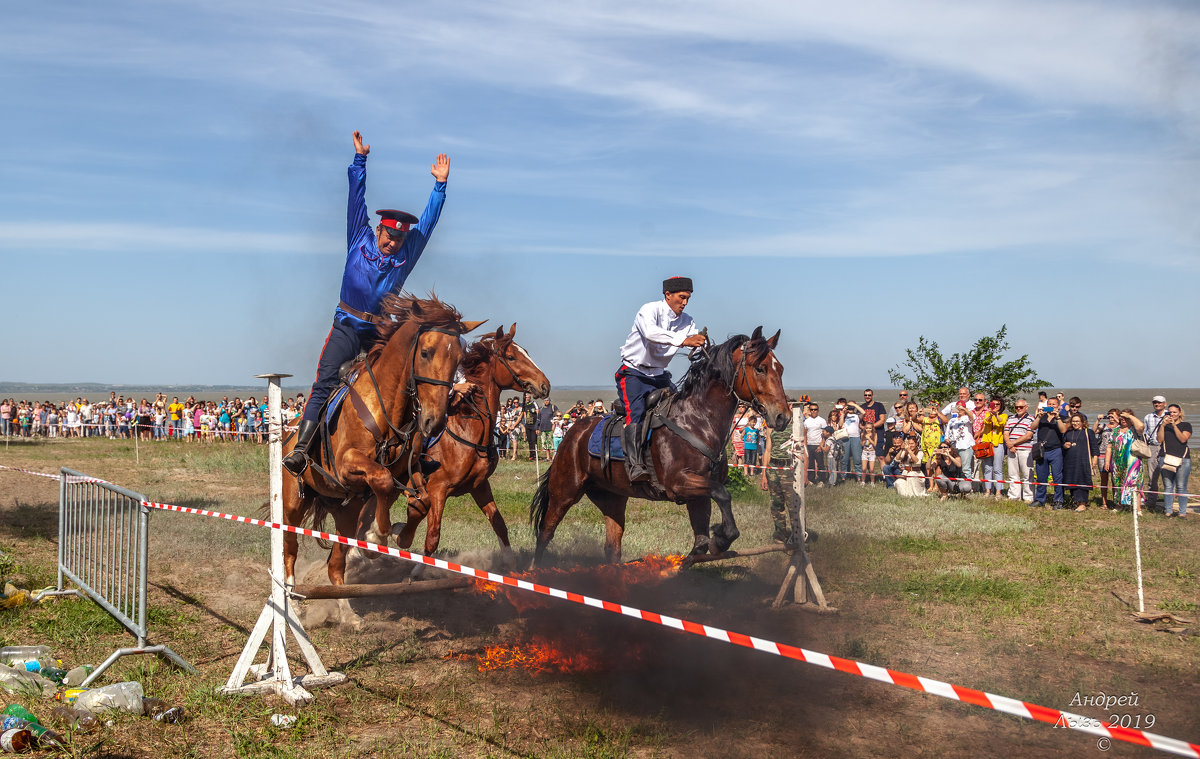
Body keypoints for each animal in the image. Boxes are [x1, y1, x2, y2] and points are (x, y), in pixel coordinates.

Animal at [280, 291, 482, 586]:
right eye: (425, 353)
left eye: (458, 359)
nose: (434, 423)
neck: (387, 408)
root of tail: (290, 430)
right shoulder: (346, 465)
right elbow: (382, 480)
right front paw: (377, 535)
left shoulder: (409, 469)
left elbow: (419, 500)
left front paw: (396, 534)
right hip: (294, 501)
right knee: (289, 545)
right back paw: (289, 587)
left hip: (345, 510)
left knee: (336, 562)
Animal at [393, 324, 552, 564]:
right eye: (511, 357)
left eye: (525, 352)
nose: (545, 385)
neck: (468, 430)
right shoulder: (438, 490)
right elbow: (432, 537)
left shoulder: (479, 486)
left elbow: (499, 525)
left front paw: (512, 565)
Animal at [530, 329, 792, 566]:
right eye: (760, 368)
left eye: (780, 369)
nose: (783, 417)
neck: (697, 421)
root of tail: (572, 433)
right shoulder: (679, 483)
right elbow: (723, 494)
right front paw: (721, 538)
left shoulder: (699, 493)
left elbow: (700, 543)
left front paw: (716, 540)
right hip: (564, 493)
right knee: (545, 534)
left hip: (612, 498)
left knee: (612, 546)